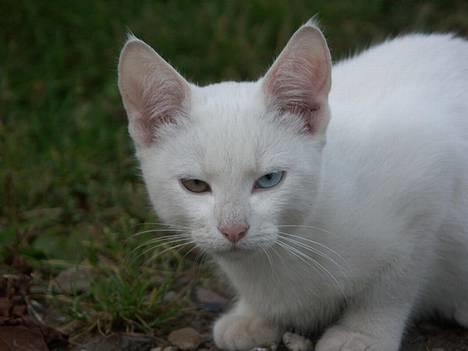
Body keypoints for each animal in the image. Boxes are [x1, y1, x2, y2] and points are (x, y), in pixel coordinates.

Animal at [117, 20, 468, 351]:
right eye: (195, 185)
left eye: (269, 179)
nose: (233, 230)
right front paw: (253, 316)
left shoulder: (428, 180)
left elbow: (395, 283)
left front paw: (362, 333)